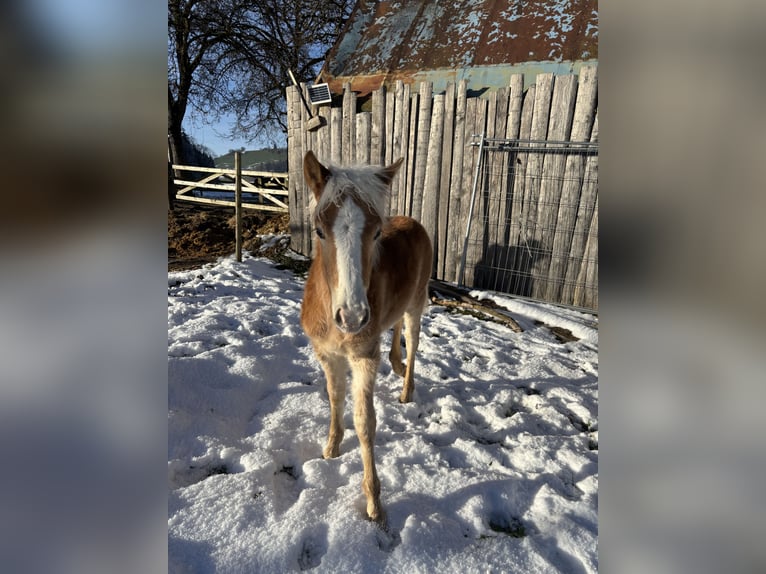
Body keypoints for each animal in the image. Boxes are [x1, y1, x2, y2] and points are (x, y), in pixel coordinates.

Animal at [300, 150, 432, 528]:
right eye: (319, 230)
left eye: (376, 234)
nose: (354, 318)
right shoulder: (327, 354)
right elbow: (334, 398)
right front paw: (331, 447)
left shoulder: (363, 359)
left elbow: (364, 422)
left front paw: (374, 501)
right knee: (396, 328)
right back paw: (395, 363)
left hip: (417, 302)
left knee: (413, 340)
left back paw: (406, 387)